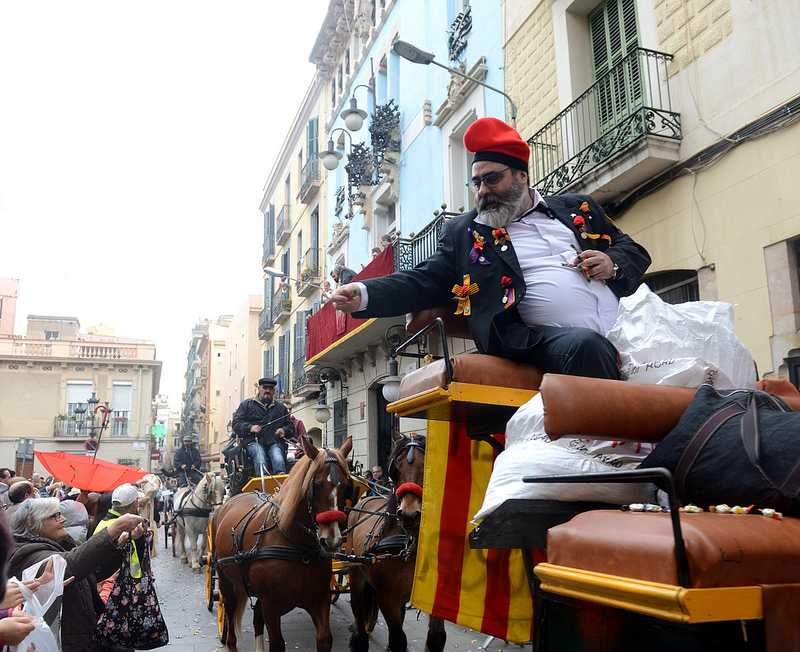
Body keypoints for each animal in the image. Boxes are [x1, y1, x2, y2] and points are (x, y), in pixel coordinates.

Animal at [212, 436, 354, 648]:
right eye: (316, 485)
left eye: (346, 486)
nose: (332, 539)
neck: (299, 548)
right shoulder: (271, 606)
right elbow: (277, 642)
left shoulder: (320, 600)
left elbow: (324, 638)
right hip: (226, 584)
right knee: (230, 631)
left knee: (256, 619)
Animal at [346, 430, 446, 648]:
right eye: (396, 469)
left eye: (426, 466)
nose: (409, 514)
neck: (411, 542)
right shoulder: (386, 597)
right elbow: (398, 639)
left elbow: (436, 636)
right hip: (356, 575)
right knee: (359, 613)